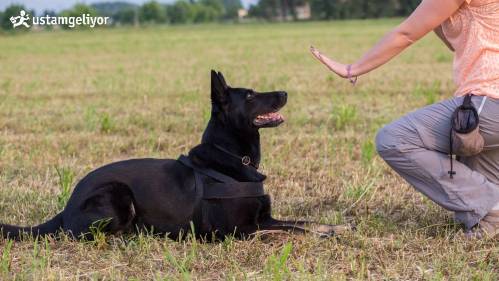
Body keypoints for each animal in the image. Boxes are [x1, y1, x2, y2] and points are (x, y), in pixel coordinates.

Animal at [0, 71, 342, 240]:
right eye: (249, 95)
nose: (285, 92)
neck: (234, 158)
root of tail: (67, 205)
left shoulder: (264, 217)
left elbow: (302, 222)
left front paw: (333, 228)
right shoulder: (238, 230)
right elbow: (289, 231)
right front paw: (318, 237)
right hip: (118, 195)